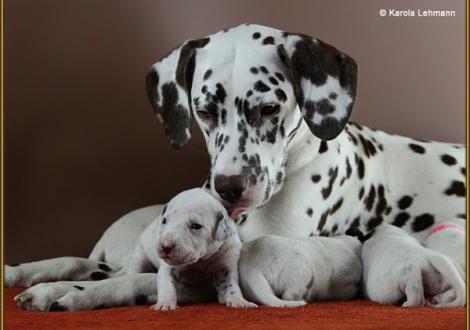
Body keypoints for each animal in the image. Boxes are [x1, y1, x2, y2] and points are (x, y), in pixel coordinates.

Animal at [129, 188, 258, 310]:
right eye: (164, 220)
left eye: (196, 226)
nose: (165, 246)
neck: (200, 260)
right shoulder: (168, 267)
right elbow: (166, 284)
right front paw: (165, 303)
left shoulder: (226, 264)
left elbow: (231, 285)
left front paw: (239, 301)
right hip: (139, 255)